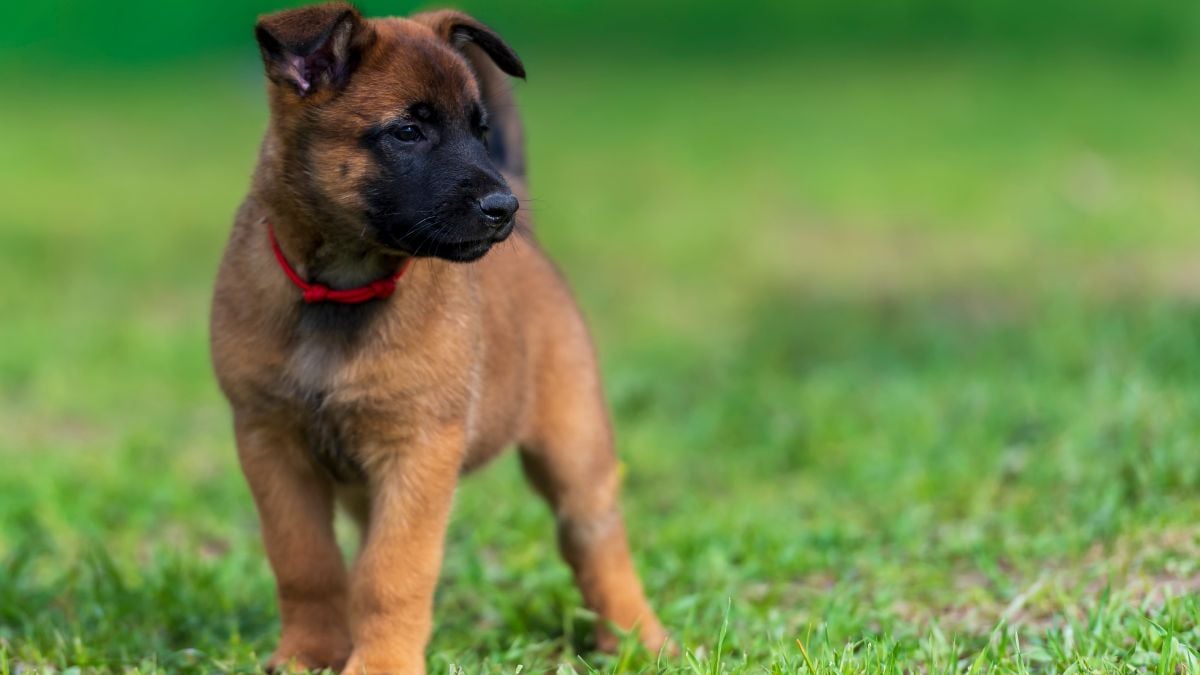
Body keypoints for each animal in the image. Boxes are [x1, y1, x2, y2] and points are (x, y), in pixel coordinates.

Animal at [211, 2, 672, 667]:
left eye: (480, 130)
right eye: (408, 132)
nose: (502, 209)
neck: (341, 290)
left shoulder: (418, 450)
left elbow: (392, 573)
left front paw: (380, 665)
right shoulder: (271, 443)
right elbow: (306, 562)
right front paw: (309, 654)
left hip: (574, 447)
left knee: (597, 540)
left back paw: (638, 637)